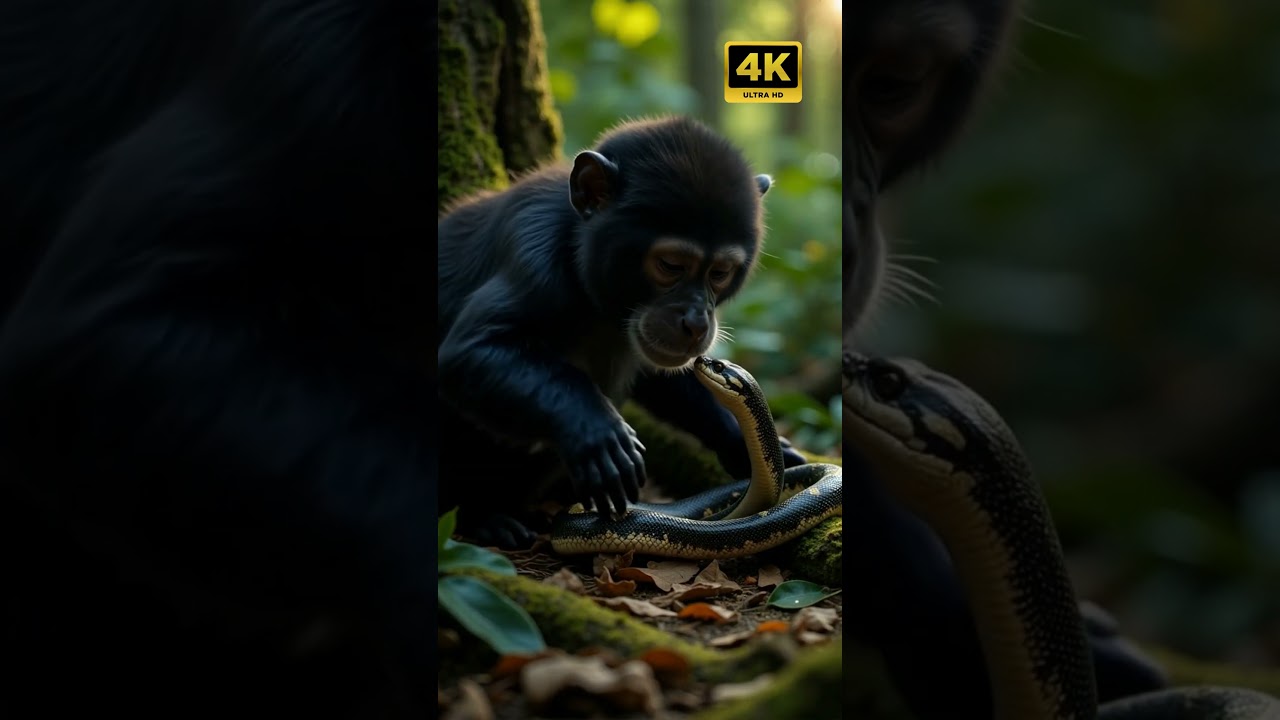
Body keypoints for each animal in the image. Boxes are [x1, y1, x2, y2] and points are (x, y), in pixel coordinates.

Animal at [437, 116, 805, 548]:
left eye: (719, 273)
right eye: (670, 265)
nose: (696, 321)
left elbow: (664, 375)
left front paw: (747, 441)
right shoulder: (533, 252)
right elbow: (470, 351)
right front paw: (595, 428)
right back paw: (486, 515)